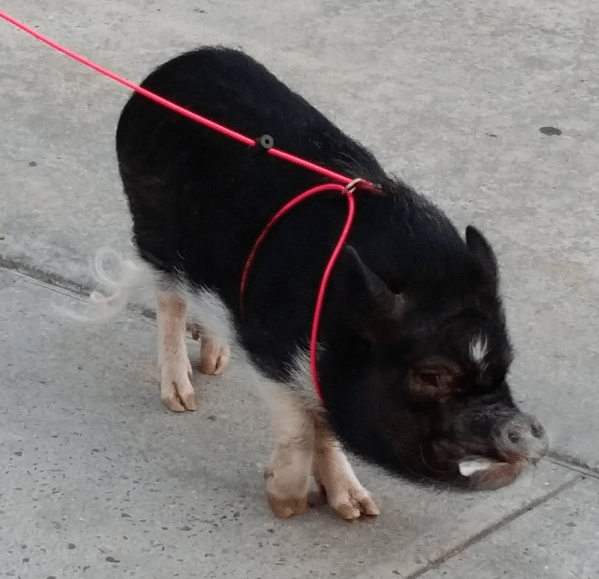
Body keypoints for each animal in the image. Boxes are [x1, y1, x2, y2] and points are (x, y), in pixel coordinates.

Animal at [115, 47, 552, 520]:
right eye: (430, 376)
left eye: (505, 364)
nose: (524, 428)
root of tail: (176, 65)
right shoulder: (269, 347)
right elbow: (302, 427)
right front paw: (289, 505)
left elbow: (325, 426)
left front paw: (359, 511)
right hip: (153, 235)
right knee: (169, 302)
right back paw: (182, 398)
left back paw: (216, 363)